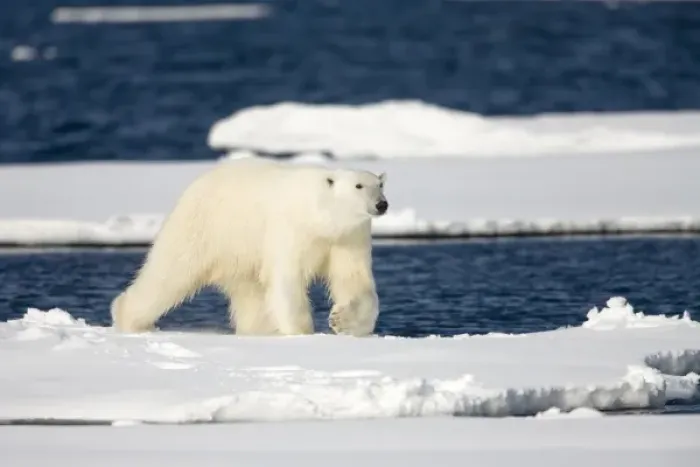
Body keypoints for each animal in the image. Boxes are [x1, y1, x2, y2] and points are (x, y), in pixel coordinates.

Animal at [110, 157, 389, 337]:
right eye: (358, 186)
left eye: (380, 185)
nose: (381, 204)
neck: (321, 217)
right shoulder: (291, 230)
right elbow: (288, 279)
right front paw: (303, 332)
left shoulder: (349, 237)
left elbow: (355, 281)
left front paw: (342, 320)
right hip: (205, 226)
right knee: (171, 271)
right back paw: (130, 319)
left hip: (239, 252)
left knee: (249, 291)